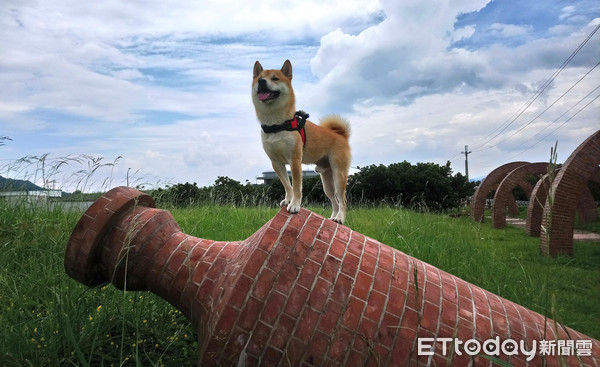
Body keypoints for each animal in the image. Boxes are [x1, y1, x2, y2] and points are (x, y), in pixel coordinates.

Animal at [252, 60, 352, 224]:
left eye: (275, 78)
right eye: (259, 78)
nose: (261, 82)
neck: (276, 124)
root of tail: (341, 135)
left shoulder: (294, 160)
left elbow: (297, 187)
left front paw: (294, 205)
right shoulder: (276, 162)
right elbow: (287, 185)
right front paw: (288, 200)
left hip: (339, 174)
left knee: (342, 200)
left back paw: (340, 219)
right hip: (327, 181)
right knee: (334, 200)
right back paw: (332, 217)